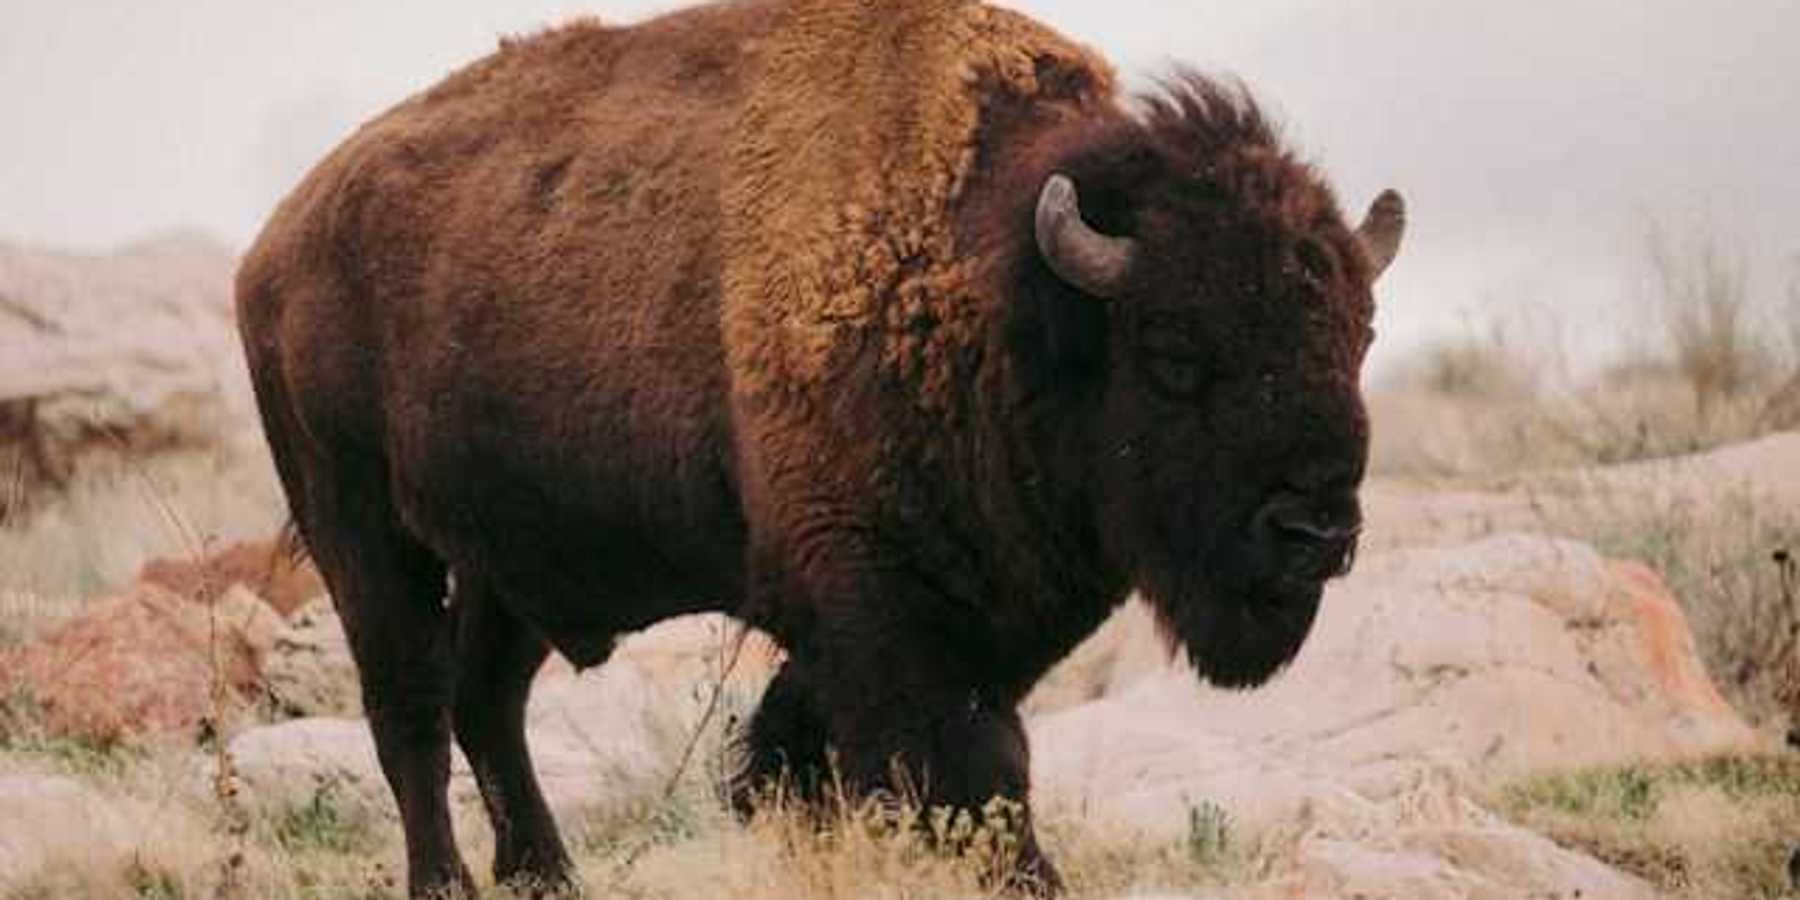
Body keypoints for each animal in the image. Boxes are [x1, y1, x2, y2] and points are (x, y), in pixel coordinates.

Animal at [236, 0, 1405, 895]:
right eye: (1174, 354)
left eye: (1358, 335)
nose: (1316, 531)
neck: (993, 285)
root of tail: (278, 242)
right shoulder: (879, 605)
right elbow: (970, 769)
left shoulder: (975, 608)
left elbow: (813, 747)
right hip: (359, 528)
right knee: (411, 714)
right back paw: (446, 881)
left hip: (510, 561)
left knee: (487, 703)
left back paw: (549, 877)